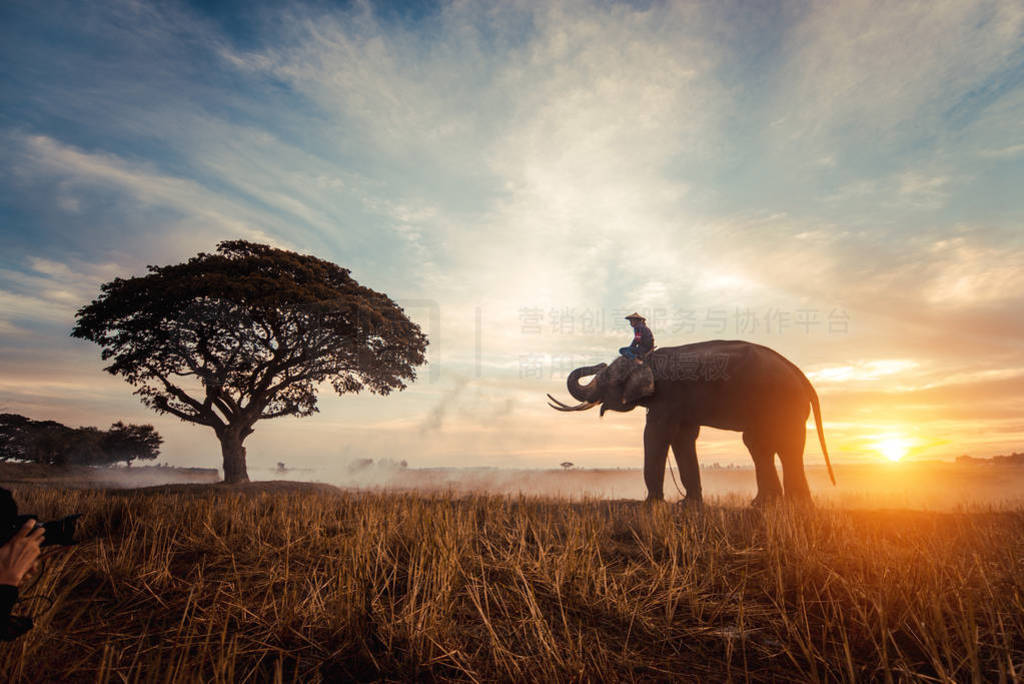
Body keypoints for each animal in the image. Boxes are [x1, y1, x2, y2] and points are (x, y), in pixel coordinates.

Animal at [548, 342, 835, 507]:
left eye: (607, 378)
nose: (599, 363)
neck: (646, 359)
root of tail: (800, 375)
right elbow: (683, 436)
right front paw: (688, 505)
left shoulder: (667, 396)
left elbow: (655, 433)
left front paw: (652, 504)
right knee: (758, 444)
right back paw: (766, 505)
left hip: (784, 402)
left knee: (785, 445)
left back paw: (797, 507)